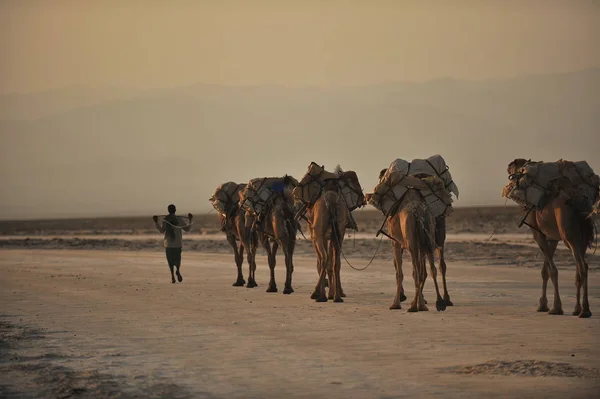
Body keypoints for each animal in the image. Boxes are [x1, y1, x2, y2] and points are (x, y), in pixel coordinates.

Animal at [506, 159, 596, 318]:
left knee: (582, 266)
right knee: (579, 269)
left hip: (569, 235)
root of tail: (578, 200)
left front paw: (555, 307)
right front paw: (543, 304)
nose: (508, 170)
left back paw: (585, 311)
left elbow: (552, 270)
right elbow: (545, 270)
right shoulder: (552, 239)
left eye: (512, 170)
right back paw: (577, 309)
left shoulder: (539, 235)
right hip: (583, 236)